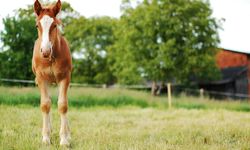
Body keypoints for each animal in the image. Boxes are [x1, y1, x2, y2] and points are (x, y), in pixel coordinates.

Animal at [31, 0, 72, 145]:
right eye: (37, 25)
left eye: (54, 25)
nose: (45, 51)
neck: (51, 58)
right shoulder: (41, 78)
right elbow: (45, 105)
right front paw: (45, 138)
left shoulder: (65, 77)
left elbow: (63, 105)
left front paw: (64, 139)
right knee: (47, 102)